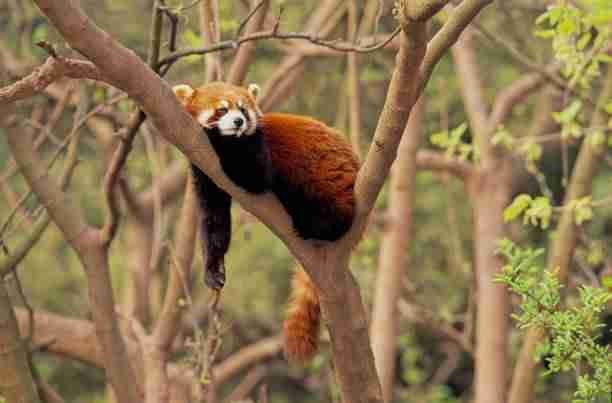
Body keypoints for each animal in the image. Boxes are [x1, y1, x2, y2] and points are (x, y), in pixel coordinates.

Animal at [172, 82, 358, 362]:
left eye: (243, 109)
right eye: (222, 109)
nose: (238, 121)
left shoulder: (257, 151)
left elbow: (254, 177)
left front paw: (216, 136)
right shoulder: (205, 174)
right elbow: (214, 221)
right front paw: (214, 269)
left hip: (326, 177)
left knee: (332, 210)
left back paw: (313, 223)